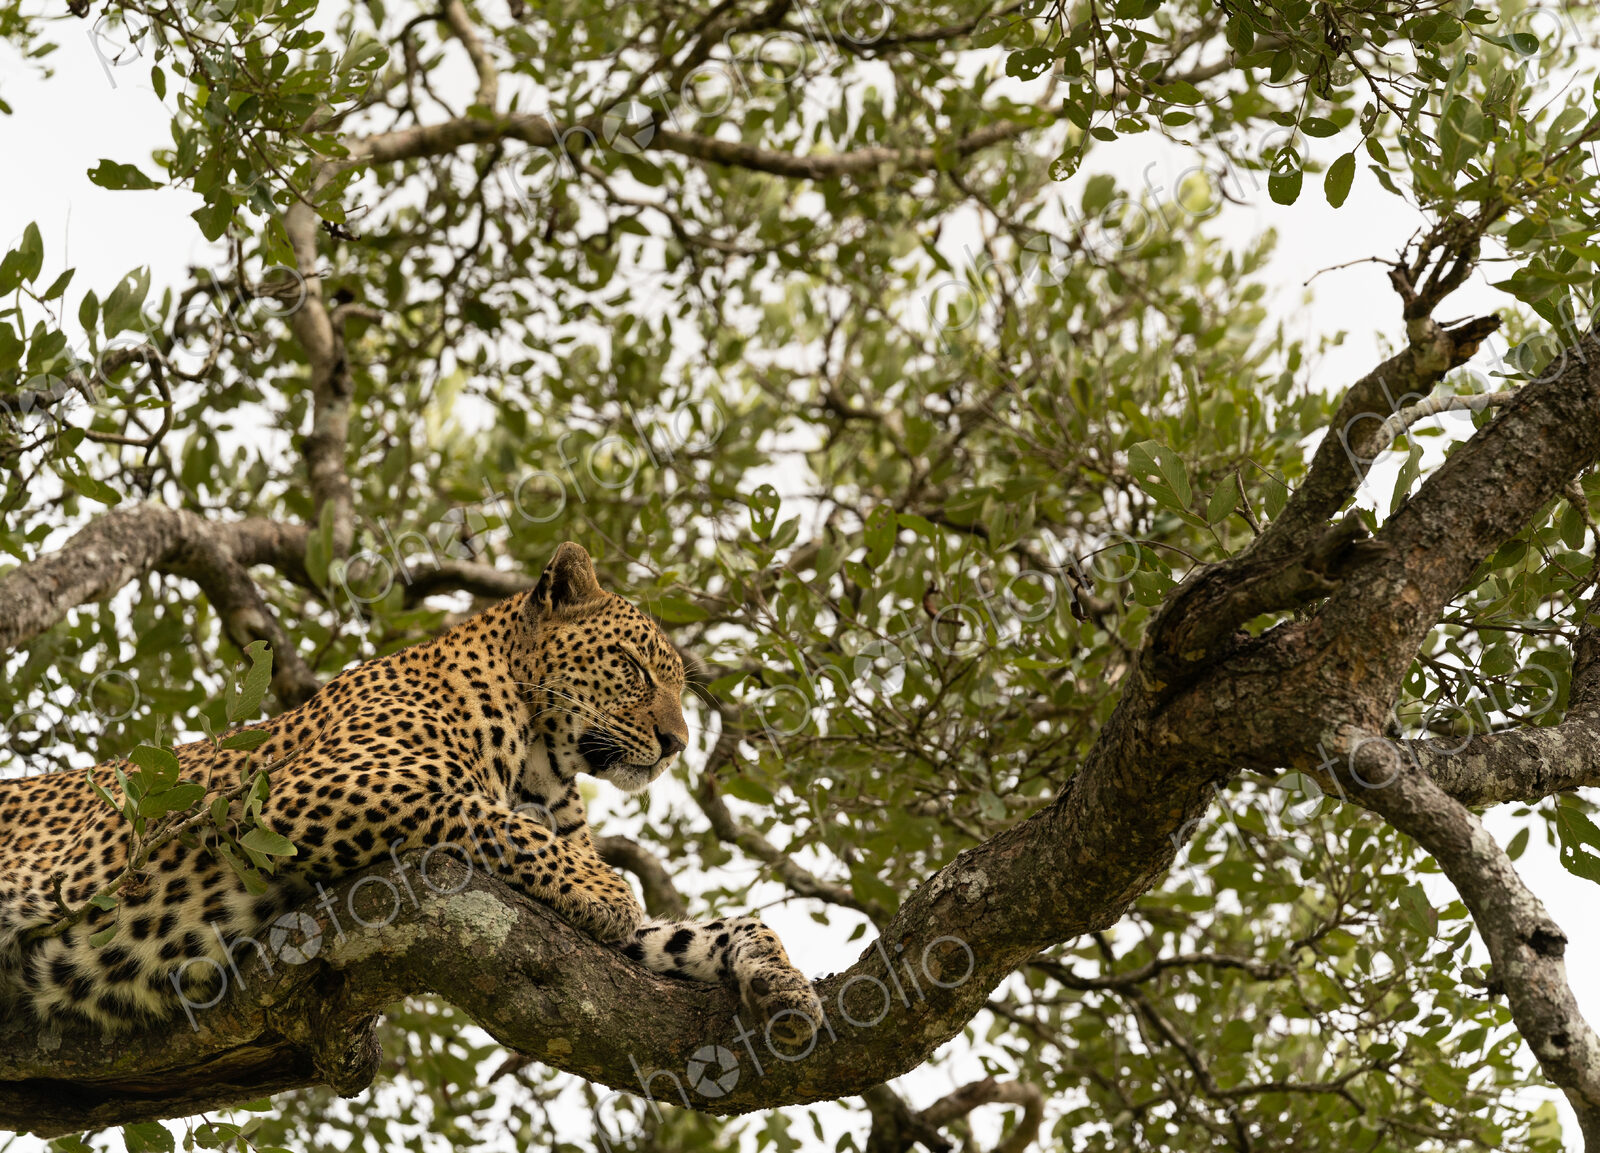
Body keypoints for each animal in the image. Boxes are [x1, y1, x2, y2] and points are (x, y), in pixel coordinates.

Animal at [0, 541, 823, 1046]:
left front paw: (785, 983)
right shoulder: (303, 792)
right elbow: (478, 811)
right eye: (631, 666)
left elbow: (703, 931)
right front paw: (603, 886)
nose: (677, 741)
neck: (544, 764)